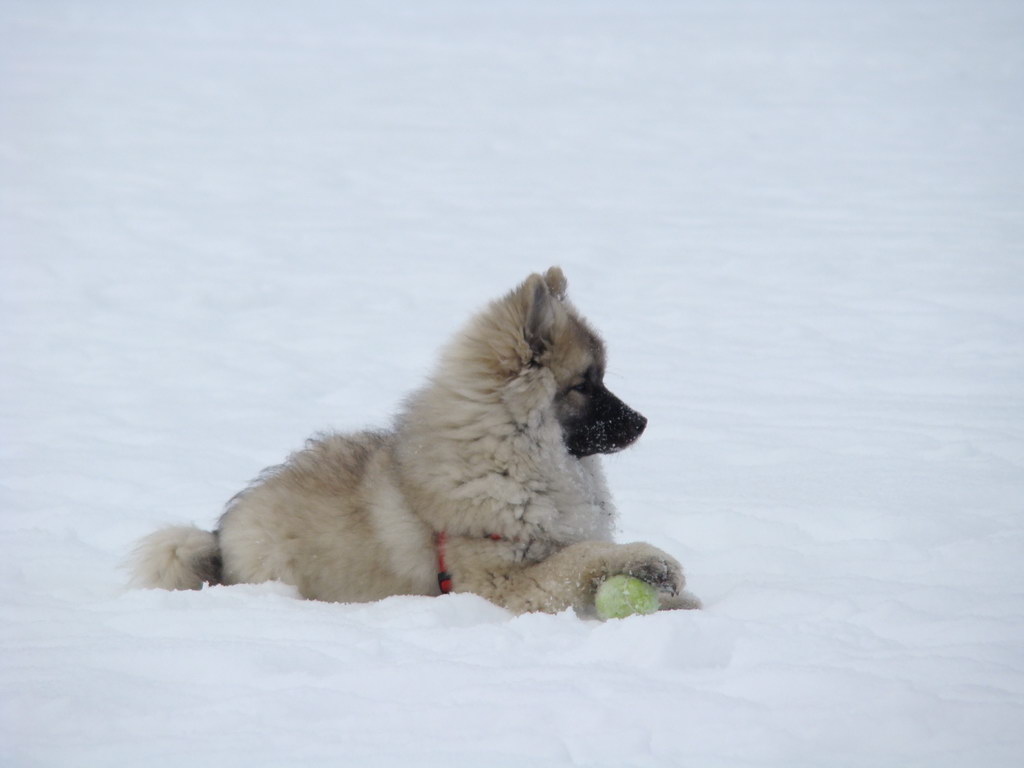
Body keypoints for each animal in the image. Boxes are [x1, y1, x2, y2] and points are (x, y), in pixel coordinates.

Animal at [132, 270, 700, 618]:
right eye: (586, 384)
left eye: (601, 379)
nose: (643, 421)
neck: (510, 454)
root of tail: (219, 538)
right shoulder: (497, 584)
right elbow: (582, 555)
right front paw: (649, 560)